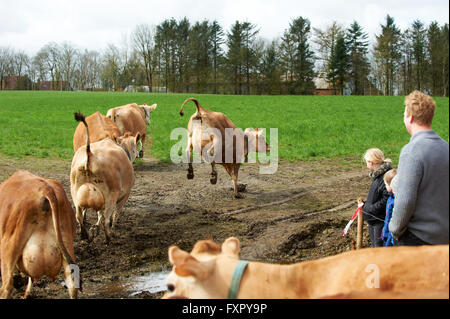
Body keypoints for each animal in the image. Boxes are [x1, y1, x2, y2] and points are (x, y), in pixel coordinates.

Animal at [70, 112, 139, 242]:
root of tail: (90, 154)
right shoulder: (124, 195)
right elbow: (115, 215)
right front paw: (111, 230)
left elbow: (99, 214)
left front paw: (94, 229)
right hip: (110, 196)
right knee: (106, 220)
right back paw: (108, 238)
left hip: (75, 191)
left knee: (79, 216)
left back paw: (84, 234)